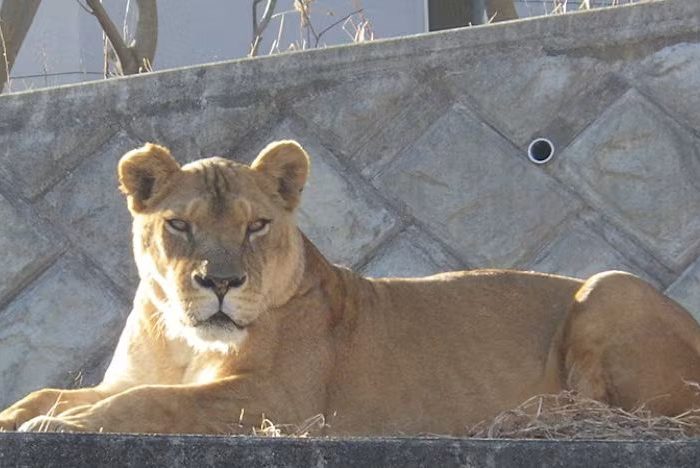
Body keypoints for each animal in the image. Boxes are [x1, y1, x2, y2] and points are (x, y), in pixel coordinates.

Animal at [1, 140, 699, 435]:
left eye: (256, 225)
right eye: (180, 225)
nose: (220, 282)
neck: (183, 339)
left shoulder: (281, 402)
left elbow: (156, 403)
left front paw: (63, 426)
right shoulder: (128, 376)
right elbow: (53, 391)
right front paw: (23, 415)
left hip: (610, 286)